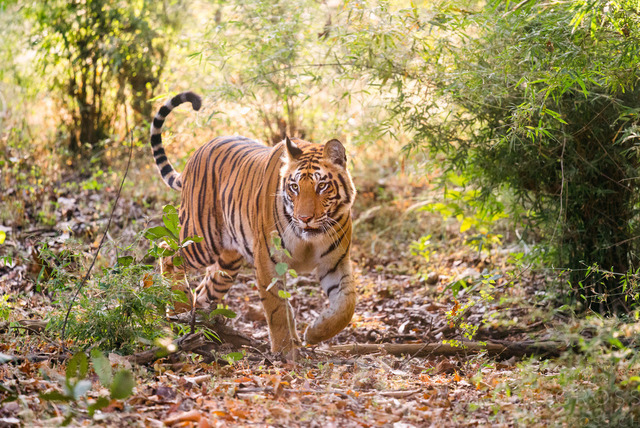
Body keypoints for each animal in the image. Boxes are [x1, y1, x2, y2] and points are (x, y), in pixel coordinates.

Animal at [150, 91, 357, 355]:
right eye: (294, 187)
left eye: (322, 186)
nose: (304, 218)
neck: (310, 239)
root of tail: (196, 153)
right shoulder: (268, 260)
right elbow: (277, 309)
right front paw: (285, 350)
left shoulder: (335, 262)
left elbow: (346, 305)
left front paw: (314, 332)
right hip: (201, 239)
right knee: (167, 252)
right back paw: (179, 309)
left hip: (227, 263)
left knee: (204, 290)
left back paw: (200, 324)